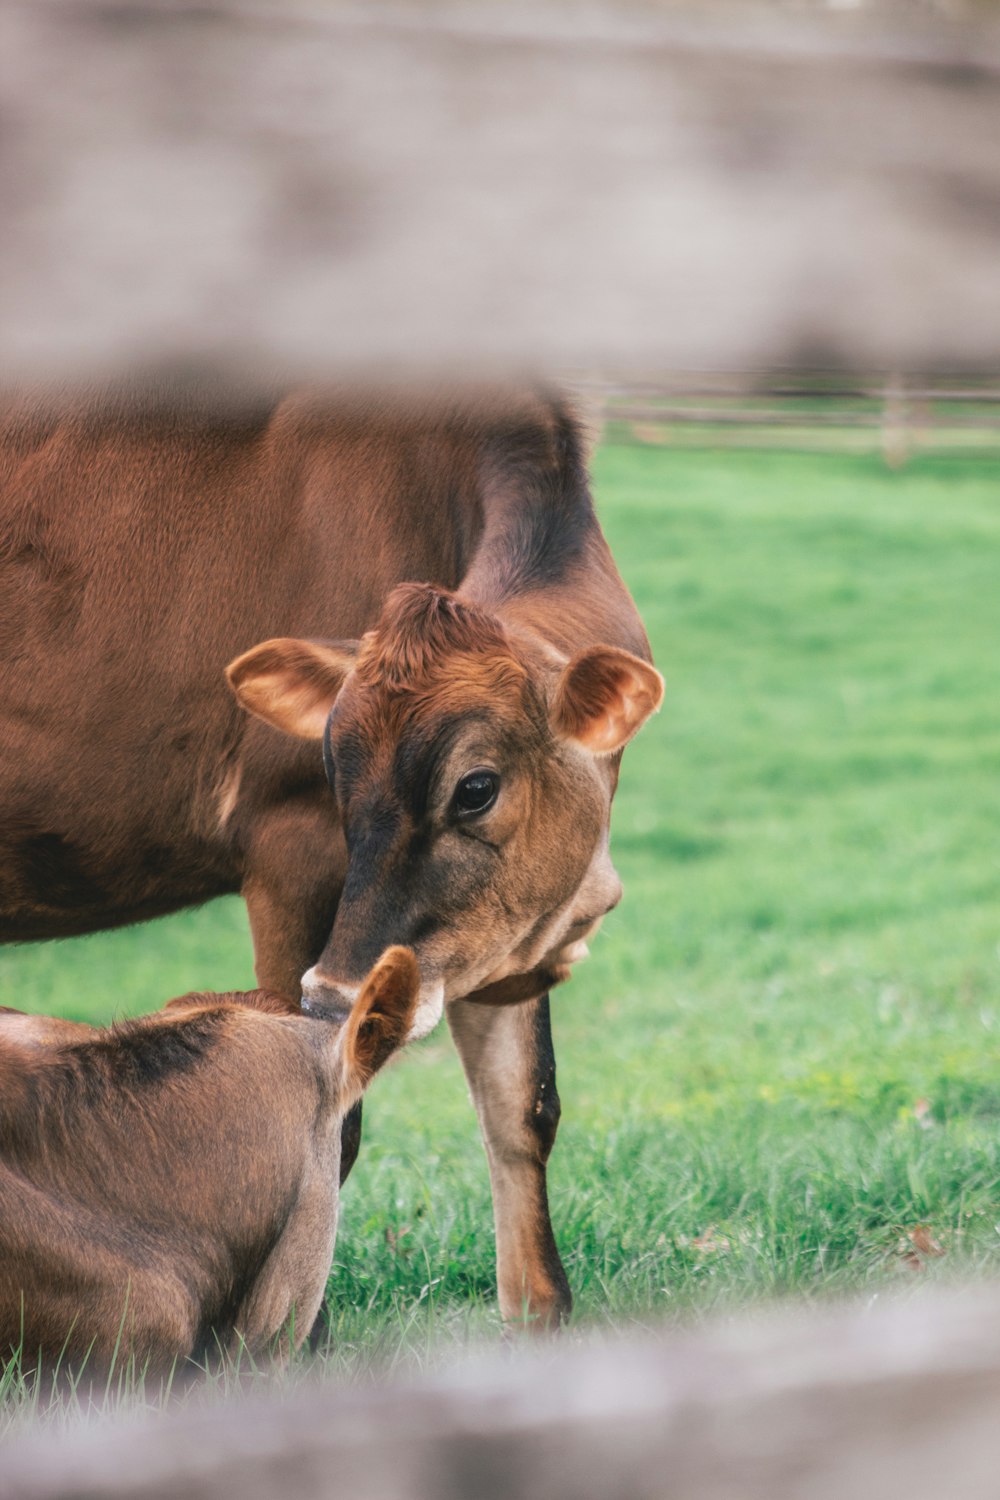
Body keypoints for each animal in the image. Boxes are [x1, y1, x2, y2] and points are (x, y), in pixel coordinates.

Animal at [1, 381, 665, 1332]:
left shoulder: (495, 932)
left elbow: (523, 1107)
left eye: (476, 788)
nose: (334, 990)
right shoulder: (293, 851)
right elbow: (327, 1123)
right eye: (331, 773)